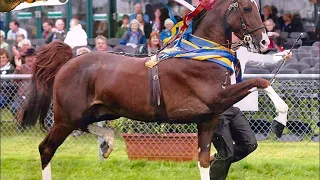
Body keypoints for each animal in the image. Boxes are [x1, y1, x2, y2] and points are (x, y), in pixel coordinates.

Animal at [20, 0, 270, 179]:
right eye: (247, 8)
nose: (265, 42)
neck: (201, 55)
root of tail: (68, 61)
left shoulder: (208, 120)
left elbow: (205, 163)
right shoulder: (218, 98)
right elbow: (260, 82)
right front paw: (278, 112)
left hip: (97, 111)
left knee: (85, 128)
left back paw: (108, 143)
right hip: (65, 118)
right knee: (46, 148)